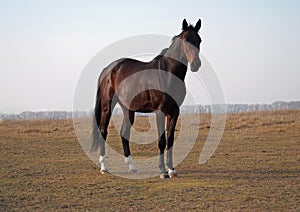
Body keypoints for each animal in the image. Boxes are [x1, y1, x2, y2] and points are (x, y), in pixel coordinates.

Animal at [91, 18, 202, 179]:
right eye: (186, 40)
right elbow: (162, 141)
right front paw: (163, 171)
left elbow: (170, 140)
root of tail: (108, 69)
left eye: (199, 40)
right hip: (107, 106)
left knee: (124, 133)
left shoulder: (174, 112)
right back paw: (104, 167)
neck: (167, 73)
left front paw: (172, 169)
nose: (196, 64)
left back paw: (132, 167)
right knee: (103, 131)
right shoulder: (160, 112)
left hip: (128, 109)